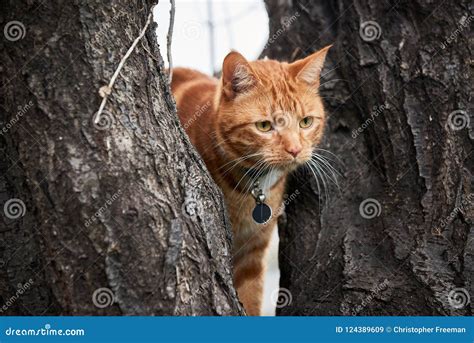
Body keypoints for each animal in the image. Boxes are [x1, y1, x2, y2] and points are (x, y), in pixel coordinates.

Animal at [169, 46, 330, 318]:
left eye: (306, 122)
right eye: (264, 126)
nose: (295, 150)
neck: (253, 188)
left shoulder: (251, 256)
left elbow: (250, 299)